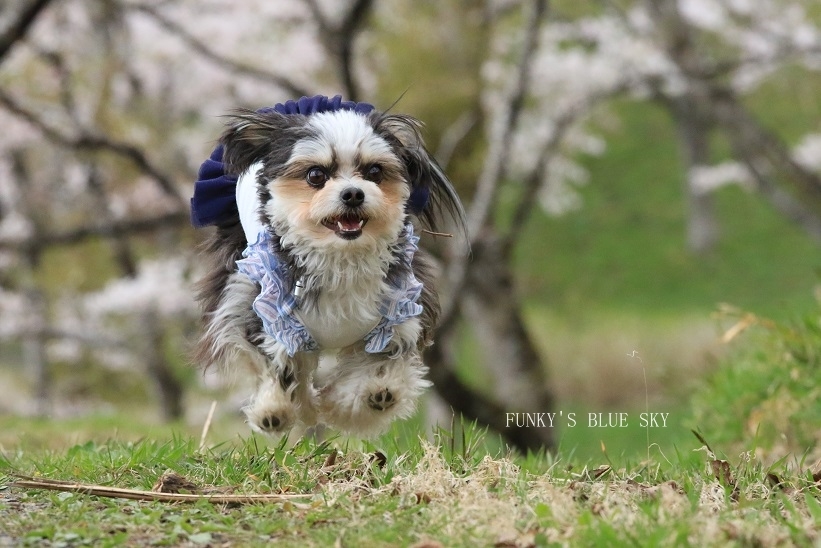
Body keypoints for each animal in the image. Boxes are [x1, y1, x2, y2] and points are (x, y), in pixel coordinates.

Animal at [188, 94, 464, 436]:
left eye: (375, 171)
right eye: (315, 175)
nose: (353, 193)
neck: (341, 259)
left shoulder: (400, 311)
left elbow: (380, 360)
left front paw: (372, 396)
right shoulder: (263, 306)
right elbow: (277, 362)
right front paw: (274, 410)